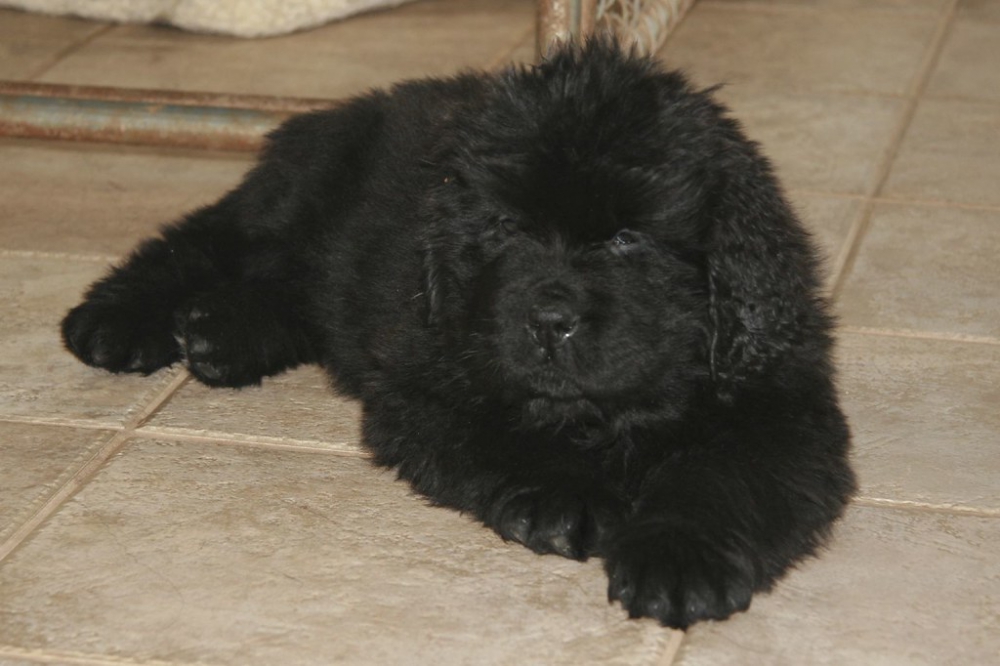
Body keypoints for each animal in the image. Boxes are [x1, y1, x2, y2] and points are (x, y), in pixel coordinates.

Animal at [60, 42, 852, 628]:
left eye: (628, 238)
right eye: (506, 226)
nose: (549, 321)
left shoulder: (781, 404)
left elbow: (723, 476)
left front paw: (678, 558)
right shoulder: (426, 380)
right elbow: (503, 430)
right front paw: (562, 496)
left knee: (290, 292)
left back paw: (220, 336)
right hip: (290, 200)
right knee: (200, 239)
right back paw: (116, 322)